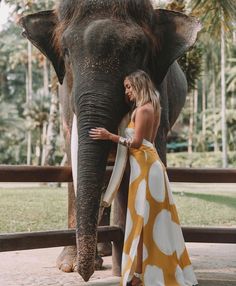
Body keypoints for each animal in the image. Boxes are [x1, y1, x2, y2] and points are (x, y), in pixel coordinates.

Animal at [20, 0, 201, 282]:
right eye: (67, 52)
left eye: (137, 49)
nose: (85, 274)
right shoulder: (64, 98)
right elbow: (74, 154)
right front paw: (68, 266)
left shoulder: (160, 96)